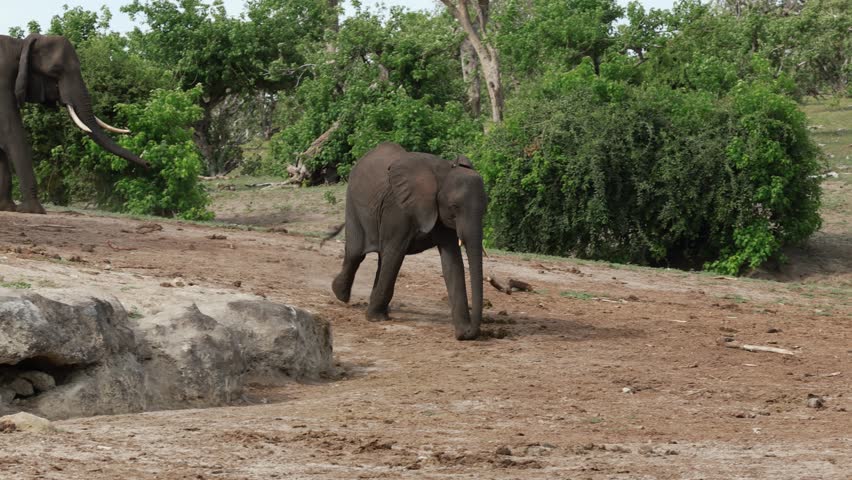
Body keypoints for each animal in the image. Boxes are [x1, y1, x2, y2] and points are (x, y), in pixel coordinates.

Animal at [0, 33, 147, 214]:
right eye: (56, 71)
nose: (148, 163)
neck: (20, 45)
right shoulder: (3, 81)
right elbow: (11, 132)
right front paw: (32, 210)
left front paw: (7, 208)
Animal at [330, 142, 487, 340]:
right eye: (454, 207)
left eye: (485, 209)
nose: (469, 333)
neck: (442, 174)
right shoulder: (398, 209)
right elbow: (396, 253)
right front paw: (374, 320)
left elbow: (452, 262)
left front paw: (462, 332)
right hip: (353, 202)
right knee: (356, 253)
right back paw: (341, 295)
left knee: (381, 258)